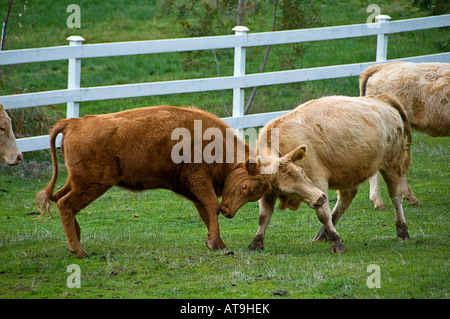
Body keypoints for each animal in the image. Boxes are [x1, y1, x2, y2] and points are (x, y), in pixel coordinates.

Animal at [35, 106, 268, 258]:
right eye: (245, 186)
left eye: (254, 195)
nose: (229, 211)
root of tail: (74, 122)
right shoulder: (199, 181)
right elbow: (212, 207)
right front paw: (215, 244)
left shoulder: (193, 190)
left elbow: (207, 212)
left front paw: (219, 244)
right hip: (92, 184)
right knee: (66, 204)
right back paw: (79, 250)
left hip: (77, 182)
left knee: (59, 198)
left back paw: (76, 241)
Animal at [248, 95, 414, 255]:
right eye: (286, 190)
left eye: (302, 172)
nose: (319, 198)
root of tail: (380, 99)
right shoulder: (268, 191)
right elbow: (263, 216)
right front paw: (255, 243)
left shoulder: (318, 180)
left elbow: (323, 214)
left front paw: (336, 243)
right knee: (346, 198)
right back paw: (323, 233)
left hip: (392, 164)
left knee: (396, 198)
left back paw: (402, 231)